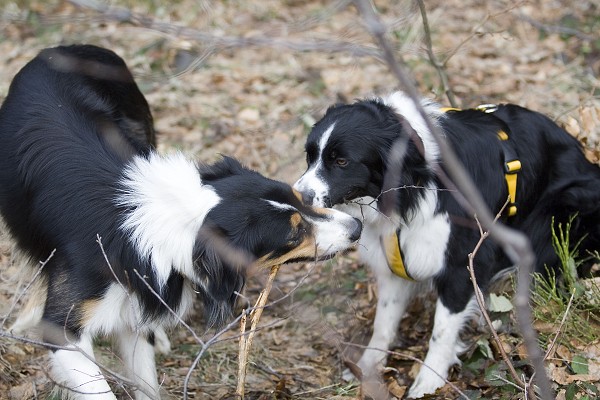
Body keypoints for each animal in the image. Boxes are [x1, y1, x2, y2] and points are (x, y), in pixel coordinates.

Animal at [0, 45, 360, 398]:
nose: (356, 229)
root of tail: (61, 48)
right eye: (293, 235)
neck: (166, 216)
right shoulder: (65, 332)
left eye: (300, 198)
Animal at [294, 91, 600, 396]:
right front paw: (367, 367)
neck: (419, 182)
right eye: (309, 156)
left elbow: (441, 330)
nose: (298, 196)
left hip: (562, 207)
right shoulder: (396, 257)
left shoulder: (462, 263)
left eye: (341, 162)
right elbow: (383, 321)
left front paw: (428, 382)